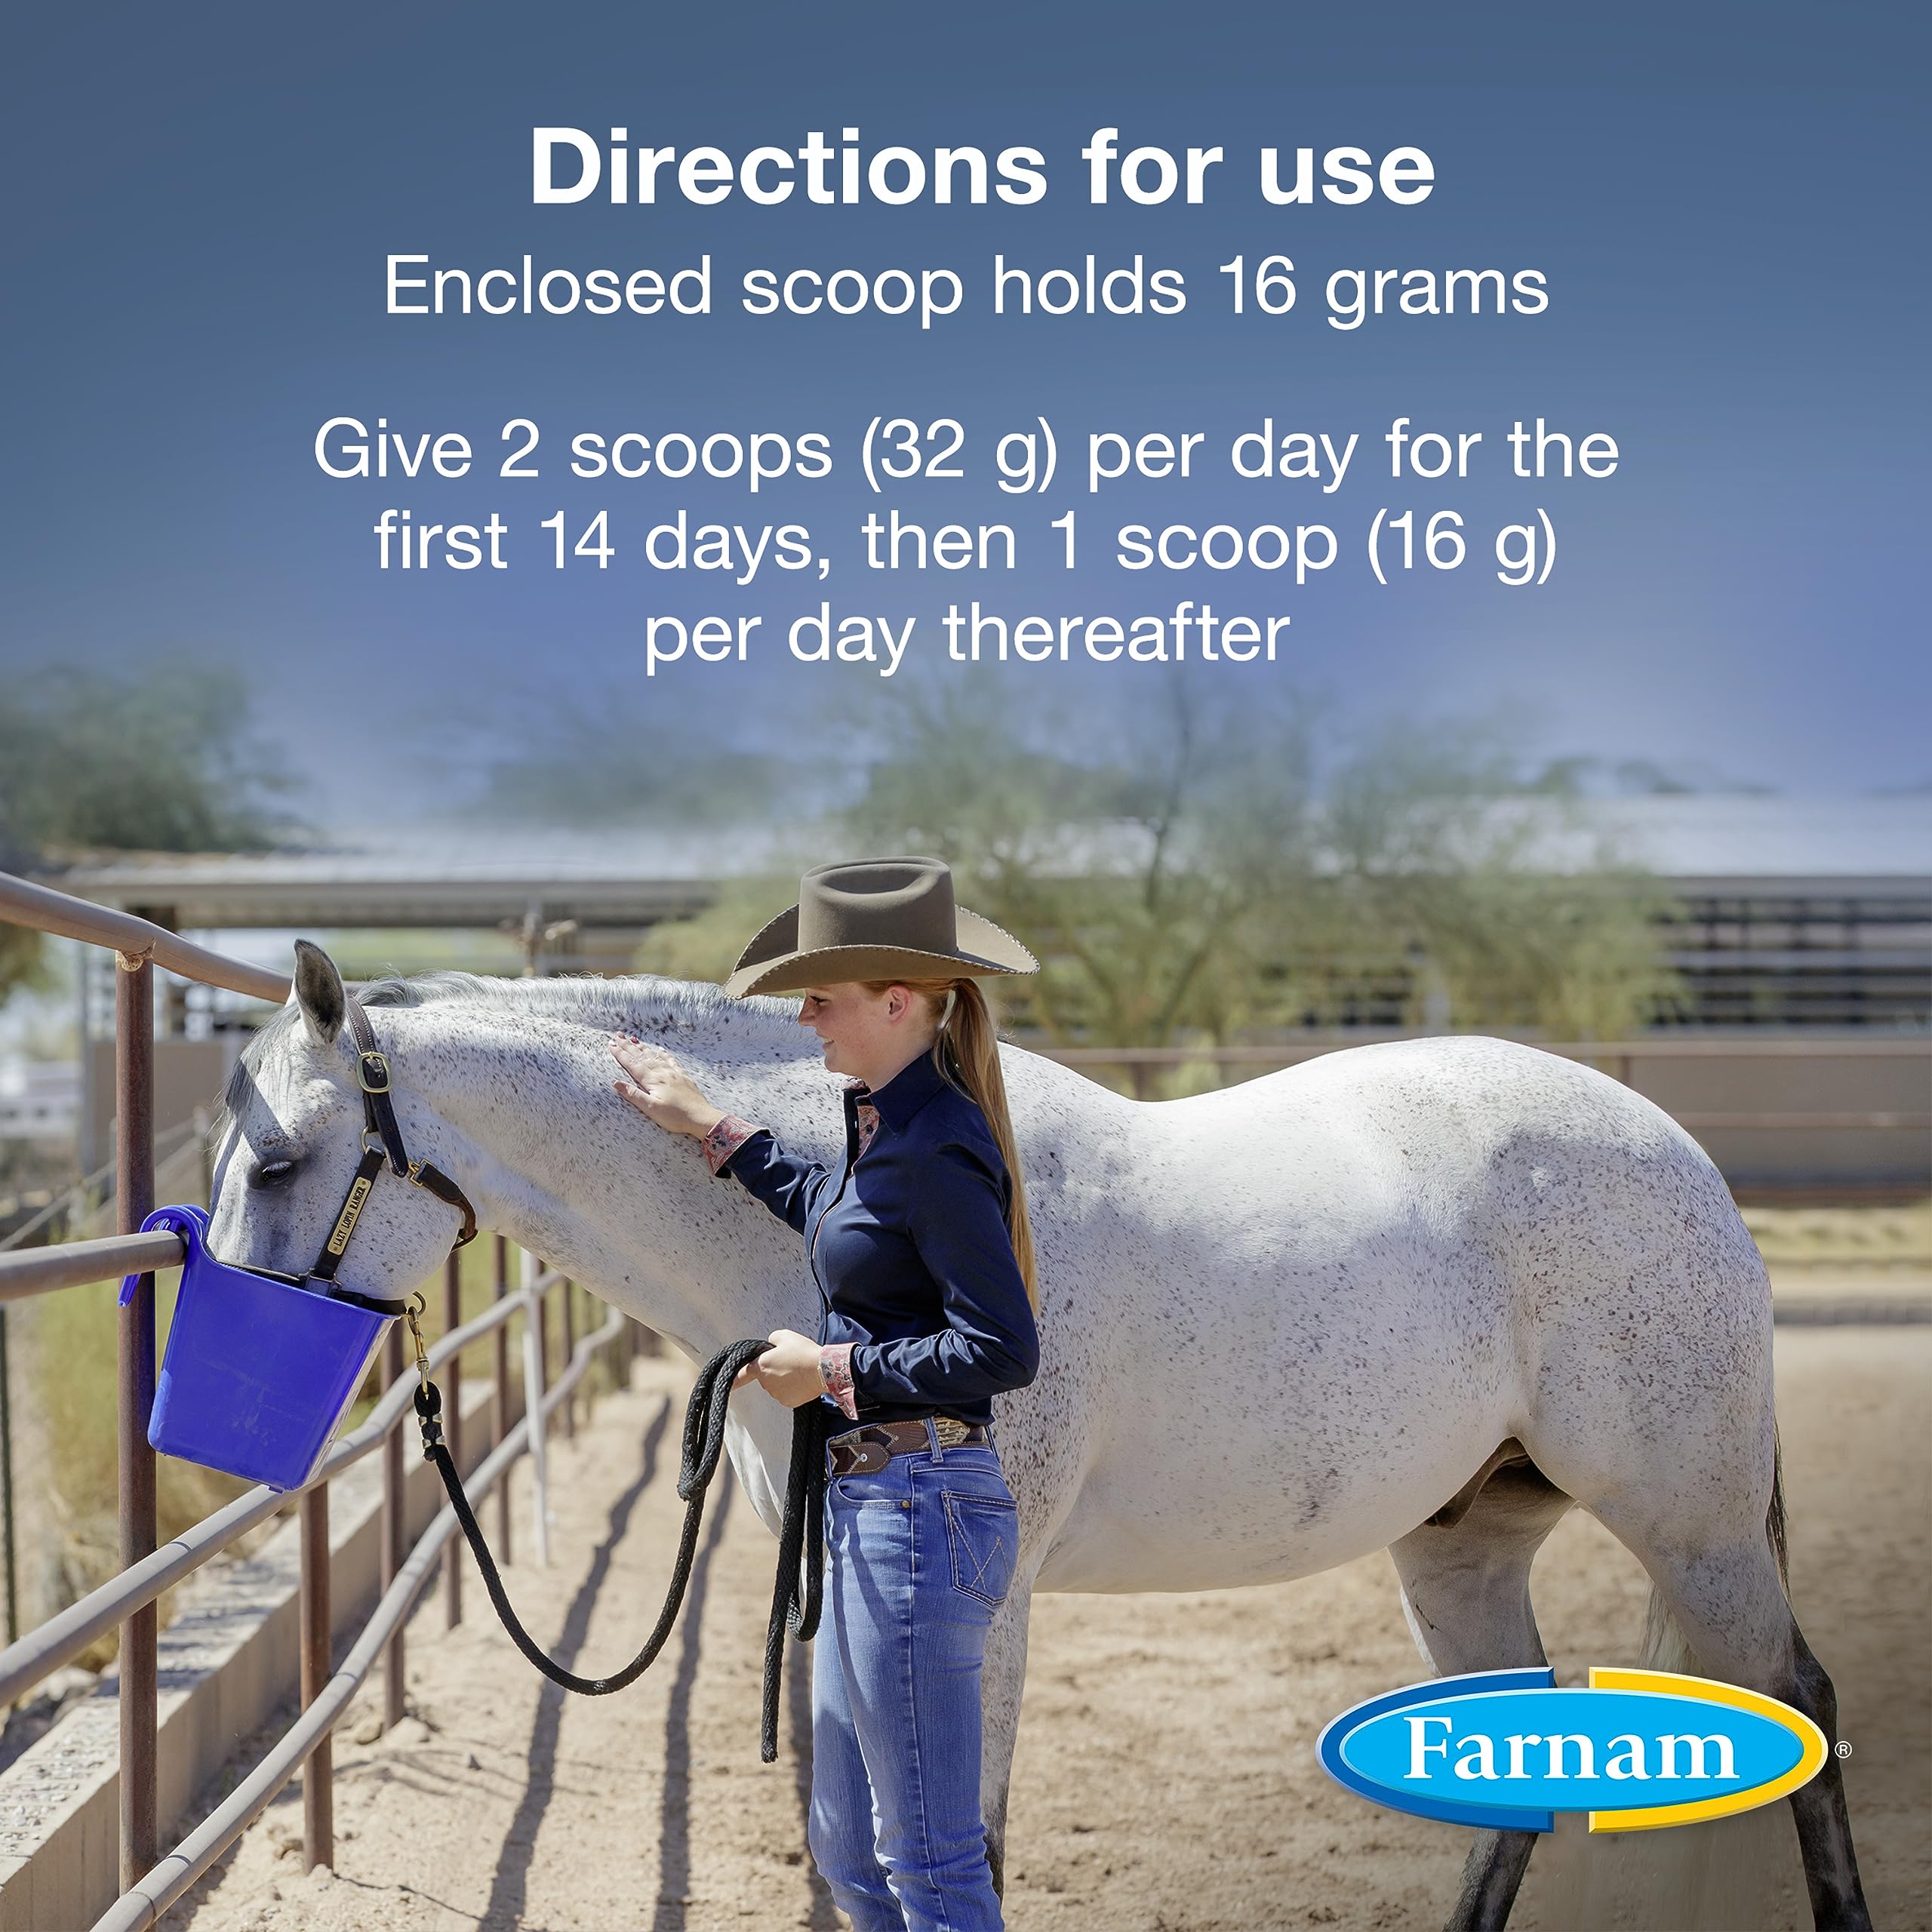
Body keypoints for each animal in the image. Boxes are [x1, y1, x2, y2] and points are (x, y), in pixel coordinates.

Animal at [207, 948, 1872, 1932]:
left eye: (284, 1161)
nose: (223, 1430)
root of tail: (1670, 1151)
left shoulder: (976, 1603)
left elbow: (963, 1841)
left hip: (1693, 1525)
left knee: (1796, 1699)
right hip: (1460, 1540)